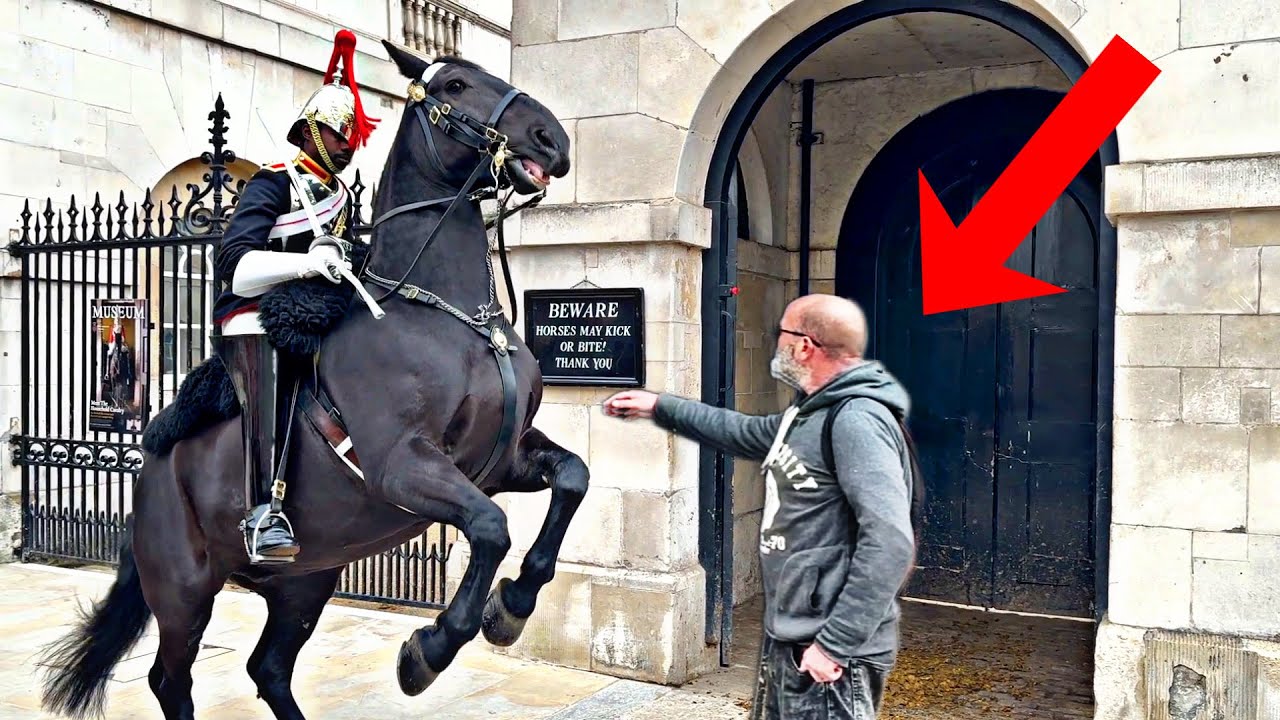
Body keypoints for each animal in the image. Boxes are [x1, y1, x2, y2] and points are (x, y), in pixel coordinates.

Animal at [40, 40, 581, 717]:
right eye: (455, 85)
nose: (552, 139)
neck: (449, 313)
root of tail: (151, 471)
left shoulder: (502, 458)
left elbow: (572, 477)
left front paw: (513, 604)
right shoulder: (402, 465)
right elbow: (489, 527)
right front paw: (428, 650)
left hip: (306, 580)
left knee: (268, 667)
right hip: (185, 588)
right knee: (171, 679)